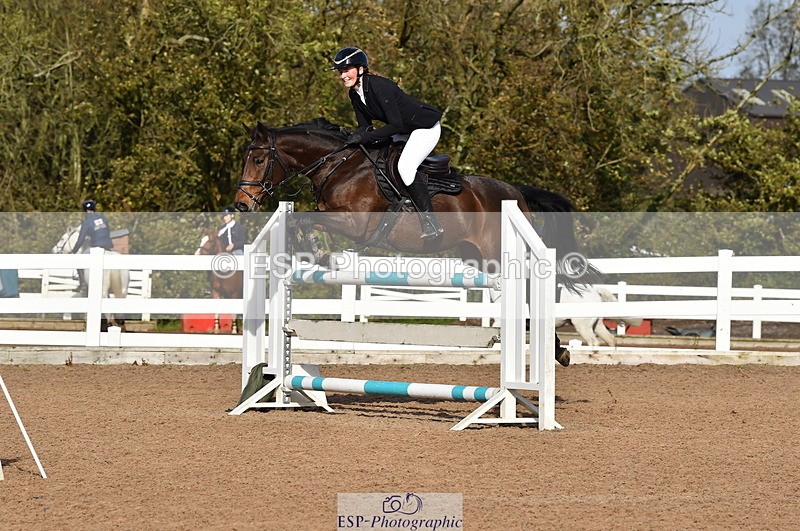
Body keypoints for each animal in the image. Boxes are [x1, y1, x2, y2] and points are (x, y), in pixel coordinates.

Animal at [234, 119, 602, 365]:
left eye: (258, 160)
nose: (242, 205)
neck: (340, 165)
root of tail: (515, 192)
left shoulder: (356, 223)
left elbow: (307, 219)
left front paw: (318, 251)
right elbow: (302, 218)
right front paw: (312, 251)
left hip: (497, 254)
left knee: (525, 293)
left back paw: (559, 352)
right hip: (477, 257)